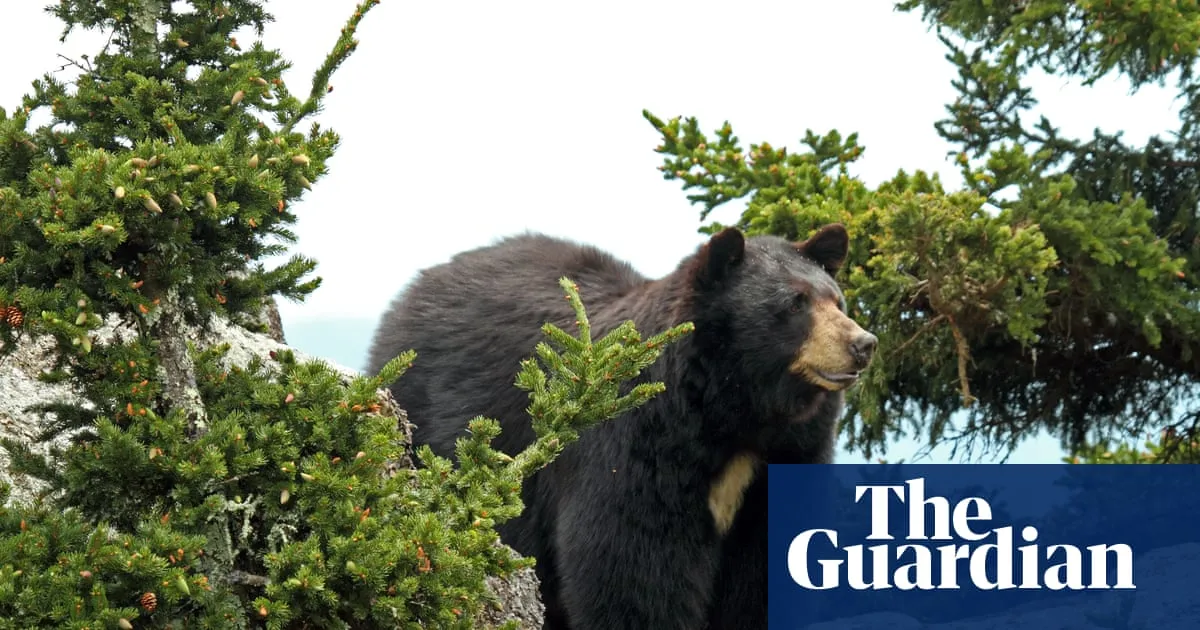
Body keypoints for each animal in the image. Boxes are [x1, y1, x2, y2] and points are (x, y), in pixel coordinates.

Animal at [366, 223, 876, 630]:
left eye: (837, 300)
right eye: (795, 303)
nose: (863, 343)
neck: (736, 415)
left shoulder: (785, 456)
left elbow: (766, 568)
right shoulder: (639, 442)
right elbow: (632, 565)